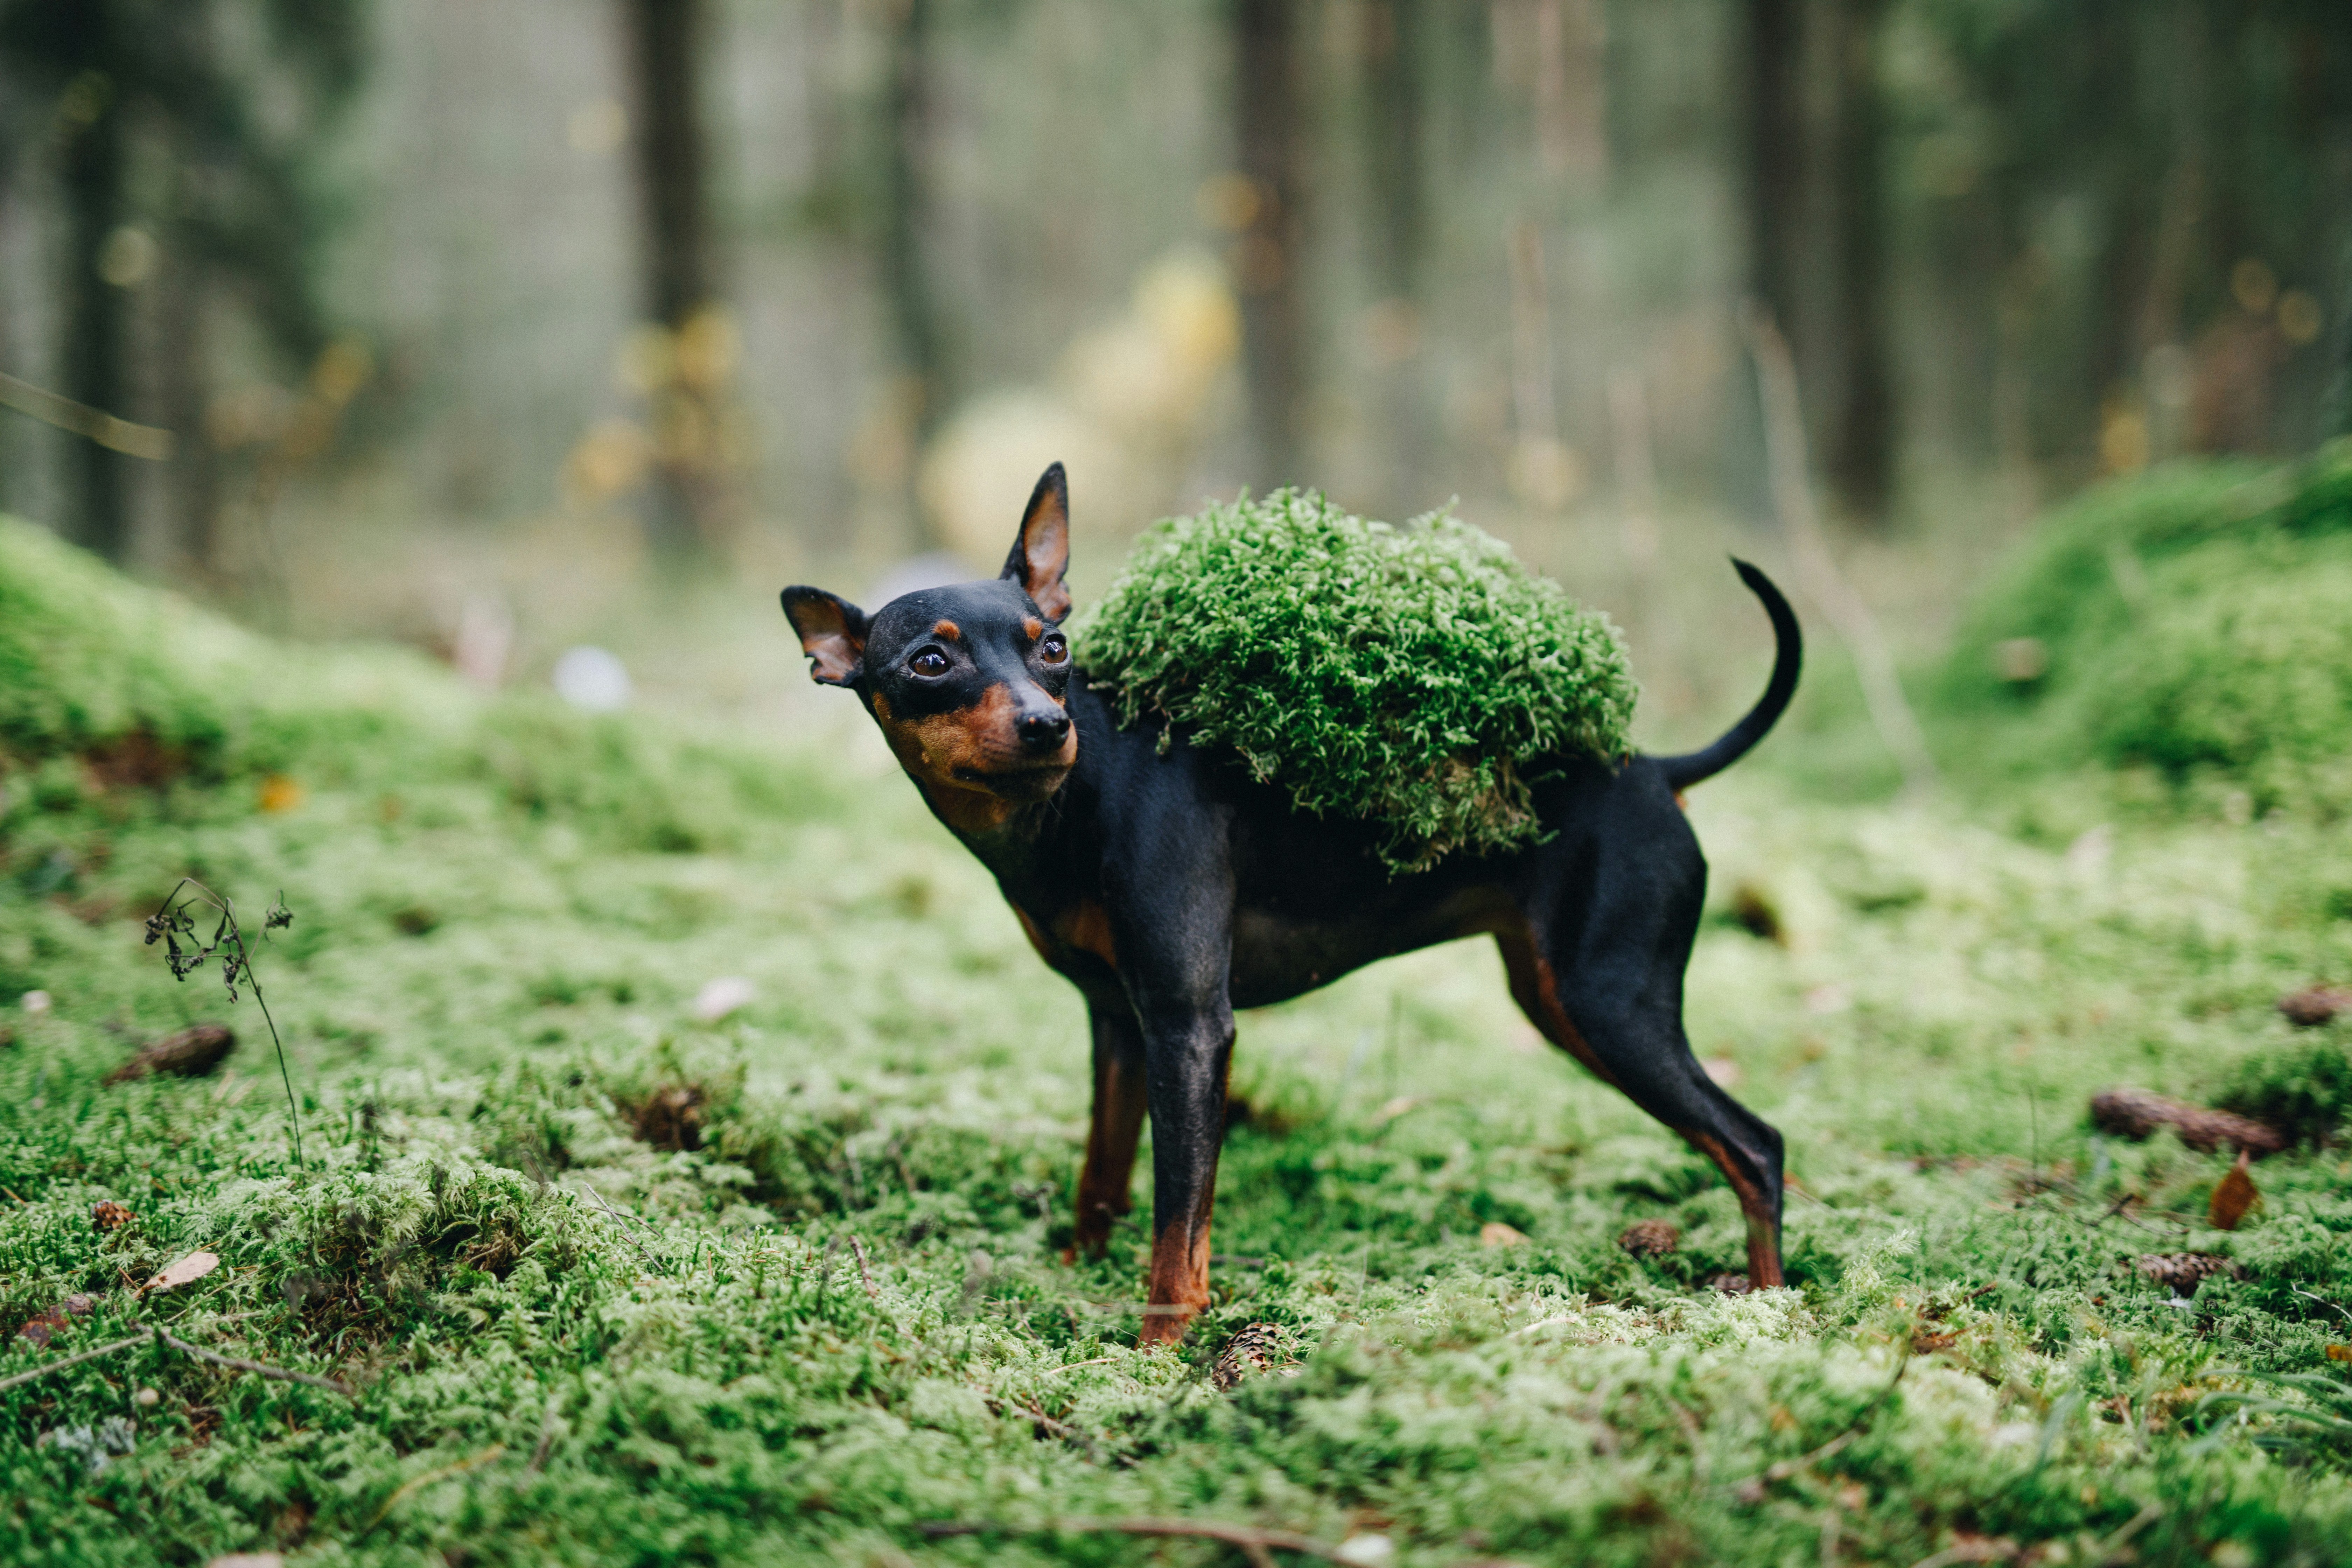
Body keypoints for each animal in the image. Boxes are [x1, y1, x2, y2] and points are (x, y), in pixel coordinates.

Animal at [790, 465, 1797, 1354]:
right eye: (930, 661)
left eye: (1054, 648)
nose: (1047, 724)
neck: (1072, 802)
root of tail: (1658, 770)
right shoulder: (1120, 1024)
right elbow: (1101, 1175)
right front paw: (1074, 1275)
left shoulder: (1191, 1029)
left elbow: (1178, 1222)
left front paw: (1159, 1352)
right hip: (1559, 1000)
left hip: (1606, 1003)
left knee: (1757, 1147)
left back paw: (1771, 1311)